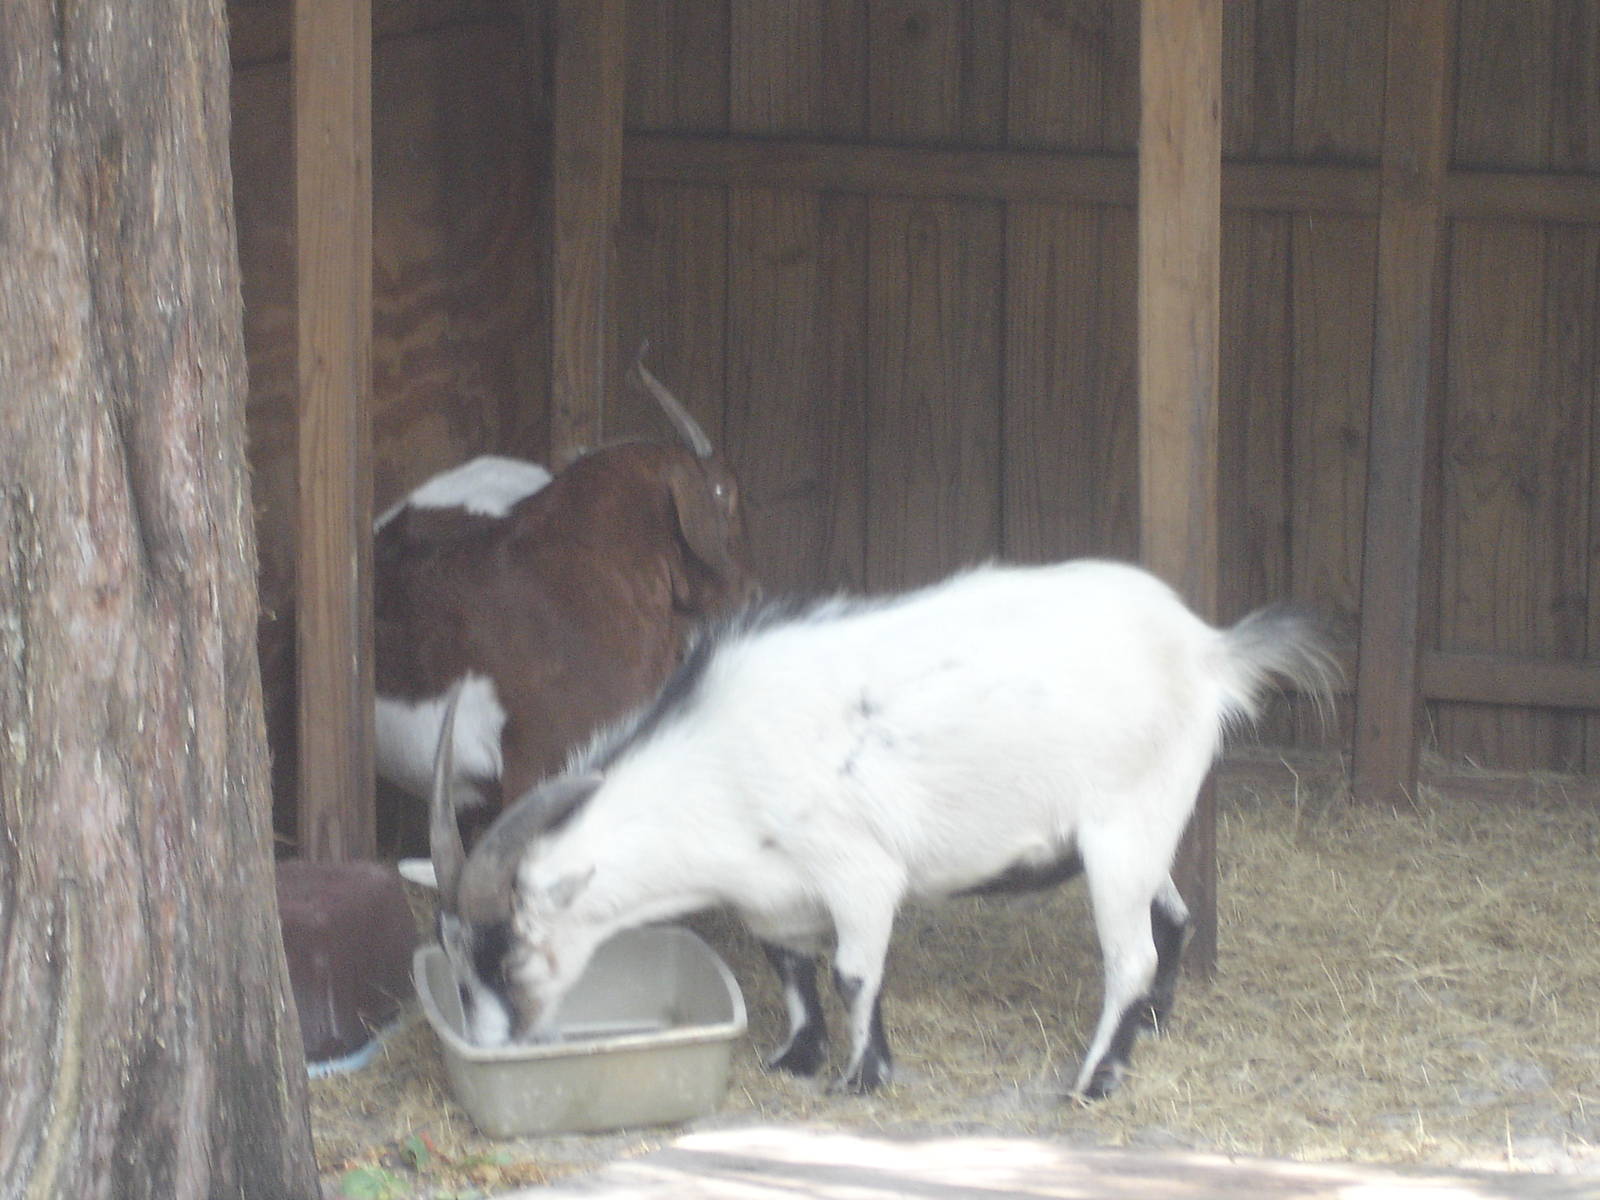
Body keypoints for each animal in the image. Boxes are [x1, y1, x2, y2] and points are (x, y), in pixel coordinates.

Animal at [427, 558, 1340, 1100]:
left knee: (1132, 954)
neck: (715, 764)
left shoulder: (858, 873)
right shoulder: (773, 895)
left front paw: (863, 1077)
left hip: (1123, 828)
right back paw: (1151, 1026)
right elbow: (791, 967)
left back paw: (1092, 1078)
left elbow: (852, 972)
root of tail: (1209, 650)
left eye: (506, 955)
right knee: (1174, 917)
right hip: (1138, 828)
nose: (491, 1045)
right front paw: (798, 1058)